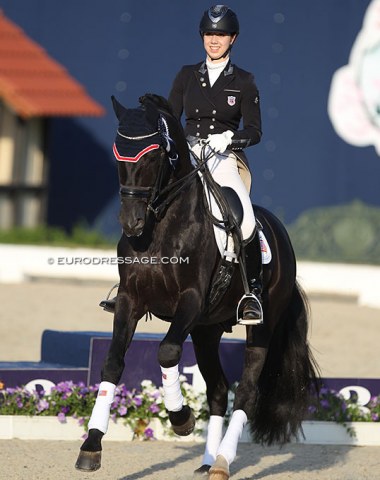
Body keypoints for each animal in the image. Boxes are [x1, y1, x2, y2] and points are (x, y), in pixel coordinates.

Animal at [74, 94, 318, 480]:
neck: (161, 226)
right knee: (218, 390)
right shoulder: (131, 300)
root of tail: (279, 232)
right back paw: (207, 461)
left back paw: (222, 462)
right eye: (117, 154)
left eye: (153, 156)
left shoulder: (191, 300)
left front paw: (181, 419)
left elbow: (167, 352)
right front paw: (91, 446)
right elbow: (112, 363)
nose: (131, 222)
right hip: (207, 331)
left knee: (245, 392)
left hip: (260, 327)